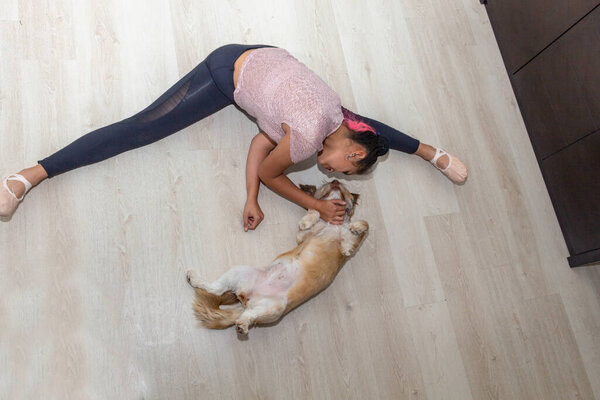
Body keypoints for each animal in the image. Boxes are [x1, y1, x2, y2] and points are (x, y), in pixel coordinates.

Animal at [185, 180, 368, 336]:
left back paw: (241, 323)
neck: (332, 225)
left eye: (343, 188)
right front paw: (312, 215)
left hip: (272, 307)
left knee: (236, 305)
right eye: (326, 186)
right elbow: (314, 216)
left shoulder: (346, 245)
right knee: (216, 289)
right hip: (243, 276)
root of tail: (246, 298)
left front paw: (354, 230)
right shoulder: (304, 236)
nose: (335, 181)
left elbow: (364, 228)